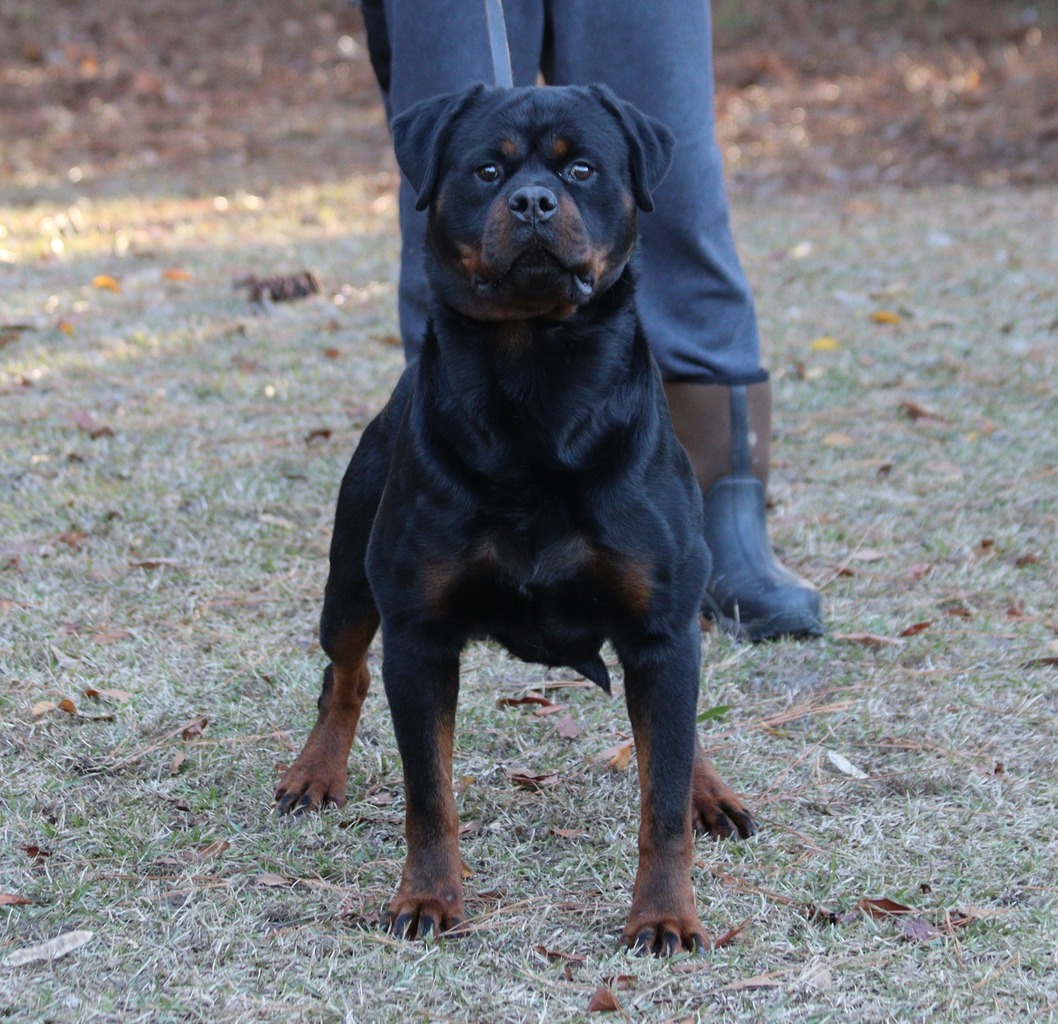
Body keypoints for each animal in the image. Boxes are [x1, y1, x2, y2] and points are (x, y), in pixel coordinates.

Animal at [275, 83, 756, 955]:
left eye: (581, 168)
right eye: (487, 170)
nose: (533, 201)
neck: (536, 384)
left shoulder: (661, 626)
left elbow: (662, 799)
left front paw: (665, 913)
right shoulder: (420, 634)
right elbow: (429, 795)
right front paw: (428, 898)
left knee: (676, 733)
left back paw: (709, 788)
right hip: (349, 580)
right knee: (344, 670)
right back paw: (315, 769)